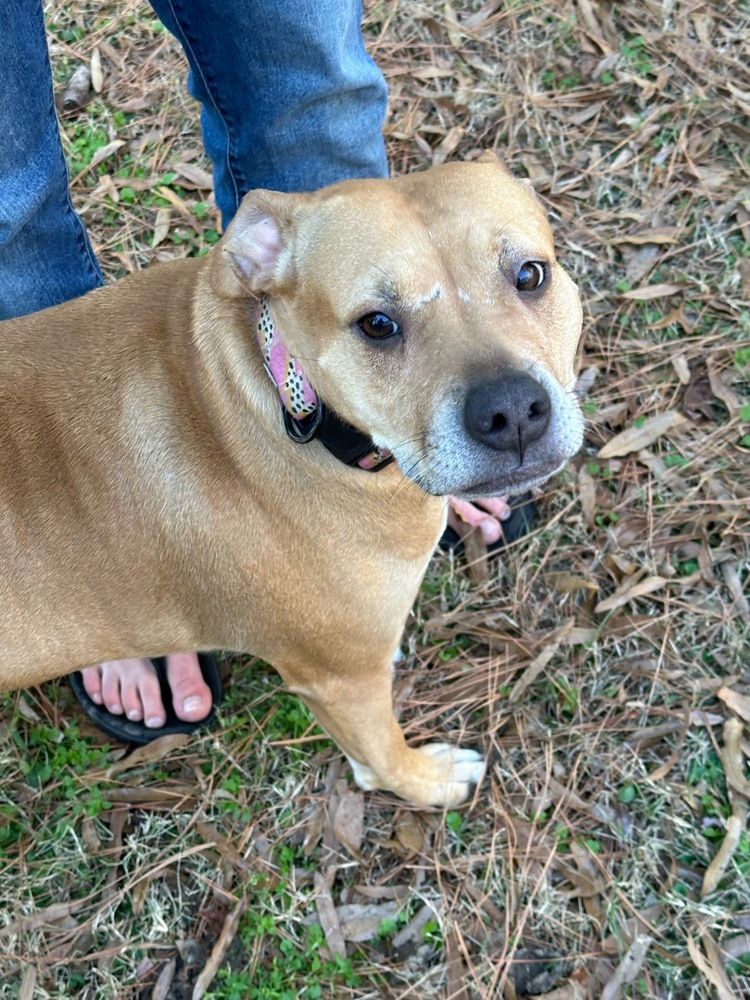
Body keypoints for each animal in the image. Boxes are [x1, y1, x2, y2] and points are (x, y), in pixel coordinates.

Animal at [0, 156, 588, 808]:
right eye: (376, 324)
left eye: (530, 275)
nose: (512, 411)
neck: (292, 403)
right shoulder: (341, 679)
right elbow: (380, 754)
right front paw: (427, 783)